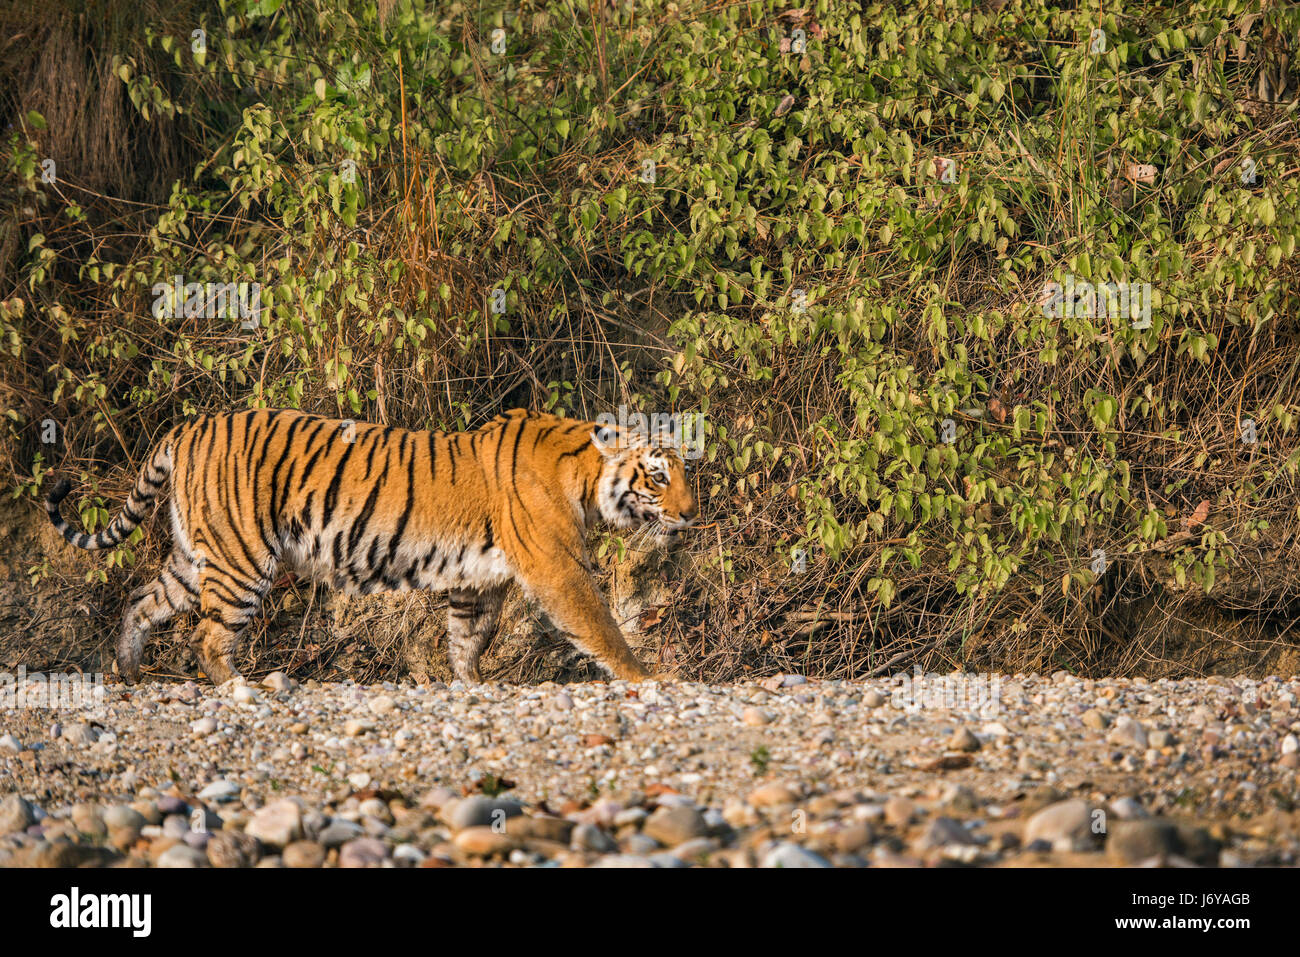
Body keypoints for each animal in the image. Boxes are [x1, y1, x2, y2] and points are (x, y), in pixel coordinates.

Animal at [40, 408, 696, 686]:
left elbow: (467, 640)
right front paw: (647, 678)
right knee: (206, 637)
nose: (692, 514)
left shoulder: (478, 581)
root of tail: (188, 425)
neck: (584, 477)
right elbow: (601, 626)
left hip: (197, 556)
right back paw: (244, 688)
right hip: (242, 559)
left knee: (140, 600)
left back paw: (129, 671)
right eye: (659, 476)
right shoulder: (558, 569)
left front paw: (471, 687)